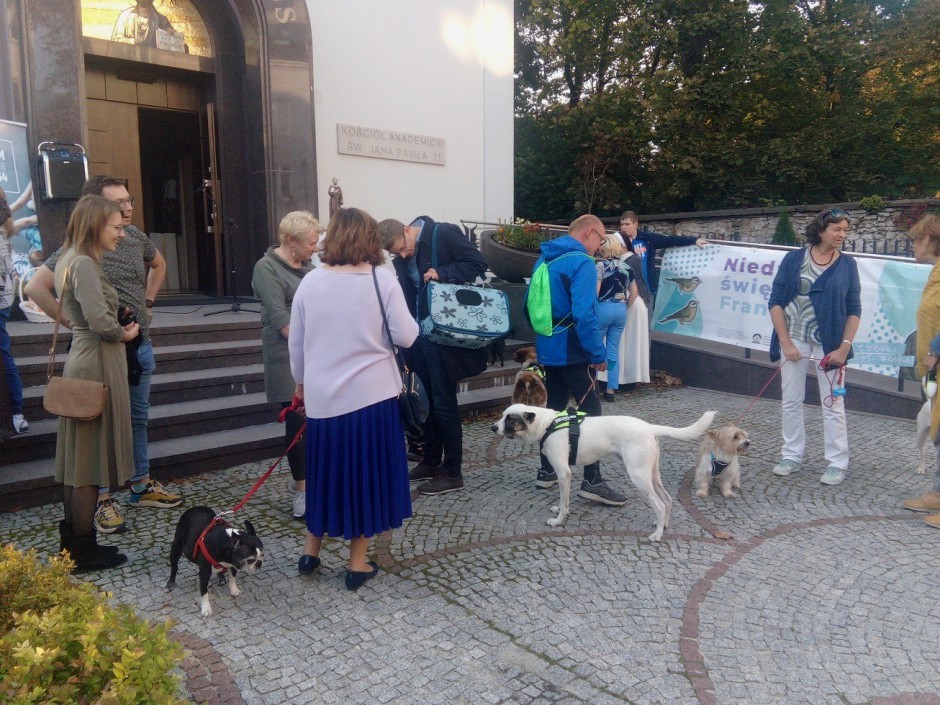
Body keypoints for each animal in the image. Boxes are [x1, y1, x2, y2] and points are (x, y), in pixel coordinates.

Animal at [492, 402, 712, 540]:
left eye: (510, 419)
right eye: (502, 415)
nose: (493, 428)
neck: (546, 424)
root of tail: (650, 427)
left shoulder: (564, 472)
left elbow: (564, 503)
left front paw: (559, 520)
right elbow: (564, 500)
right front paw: (559, 509)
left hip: (639, 476)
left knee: (659, 504)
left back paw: (657, 535)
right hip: (652, 474)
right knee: (667, 500)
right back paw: (663, 525)